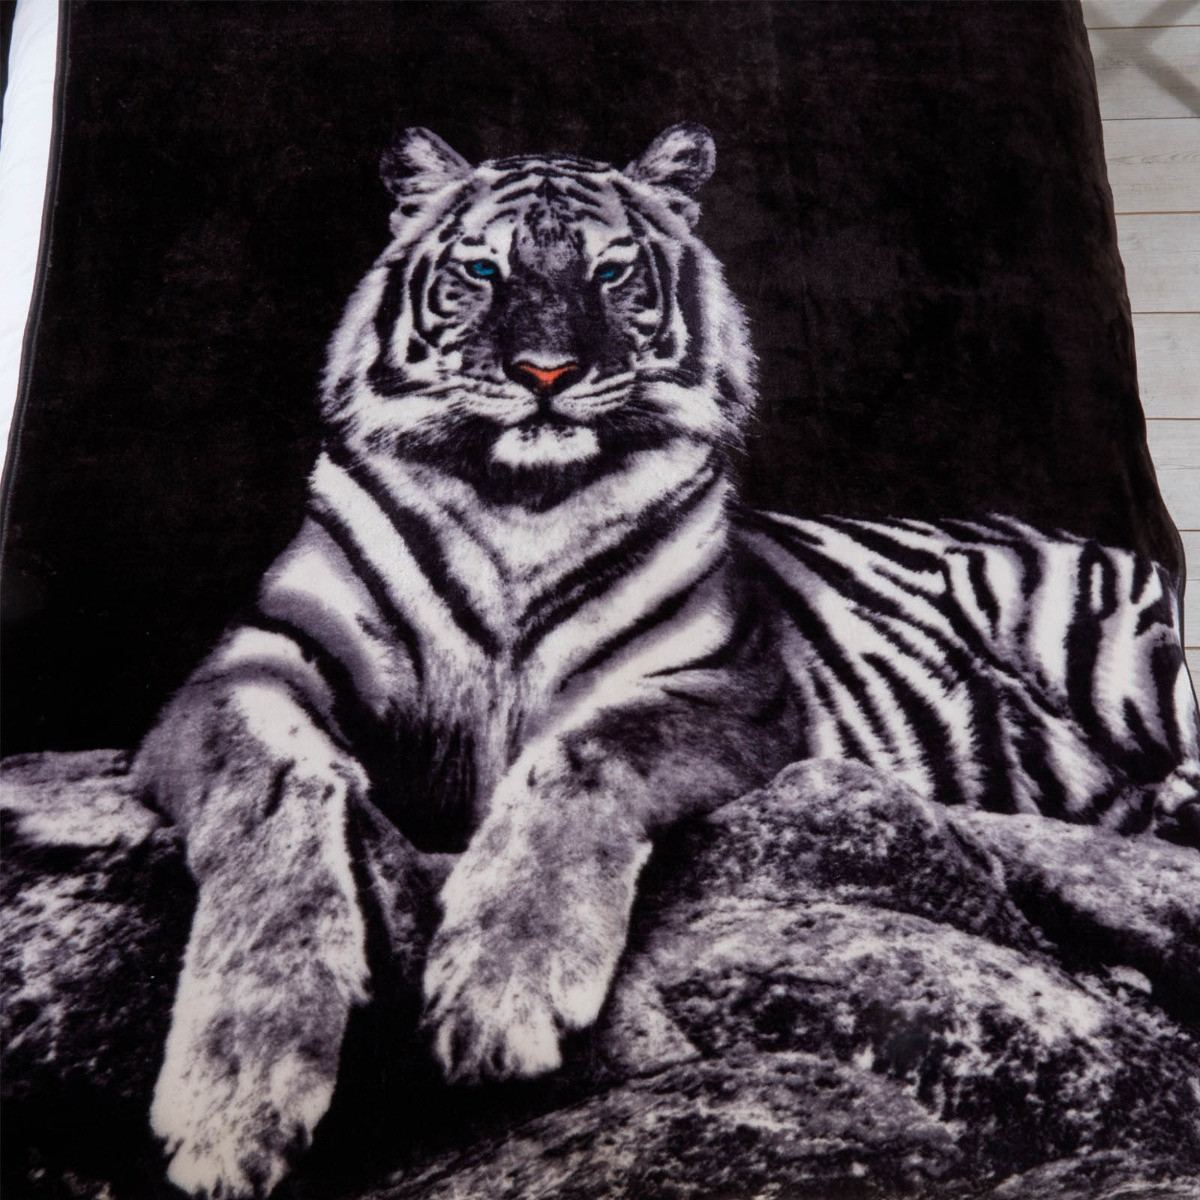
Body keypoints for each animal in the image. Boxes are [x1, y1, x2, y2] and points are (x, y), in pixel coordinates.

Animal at [135, 123, 1200, 1199]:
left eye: (611, 273)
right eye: (482, 269)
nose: (546, 372)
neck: (519, 503)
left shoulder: (724, 686)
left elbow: (583, 756)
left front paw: (501, 994)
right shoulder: (250, 667)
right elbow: (275, 803)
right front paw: (235, 1098)